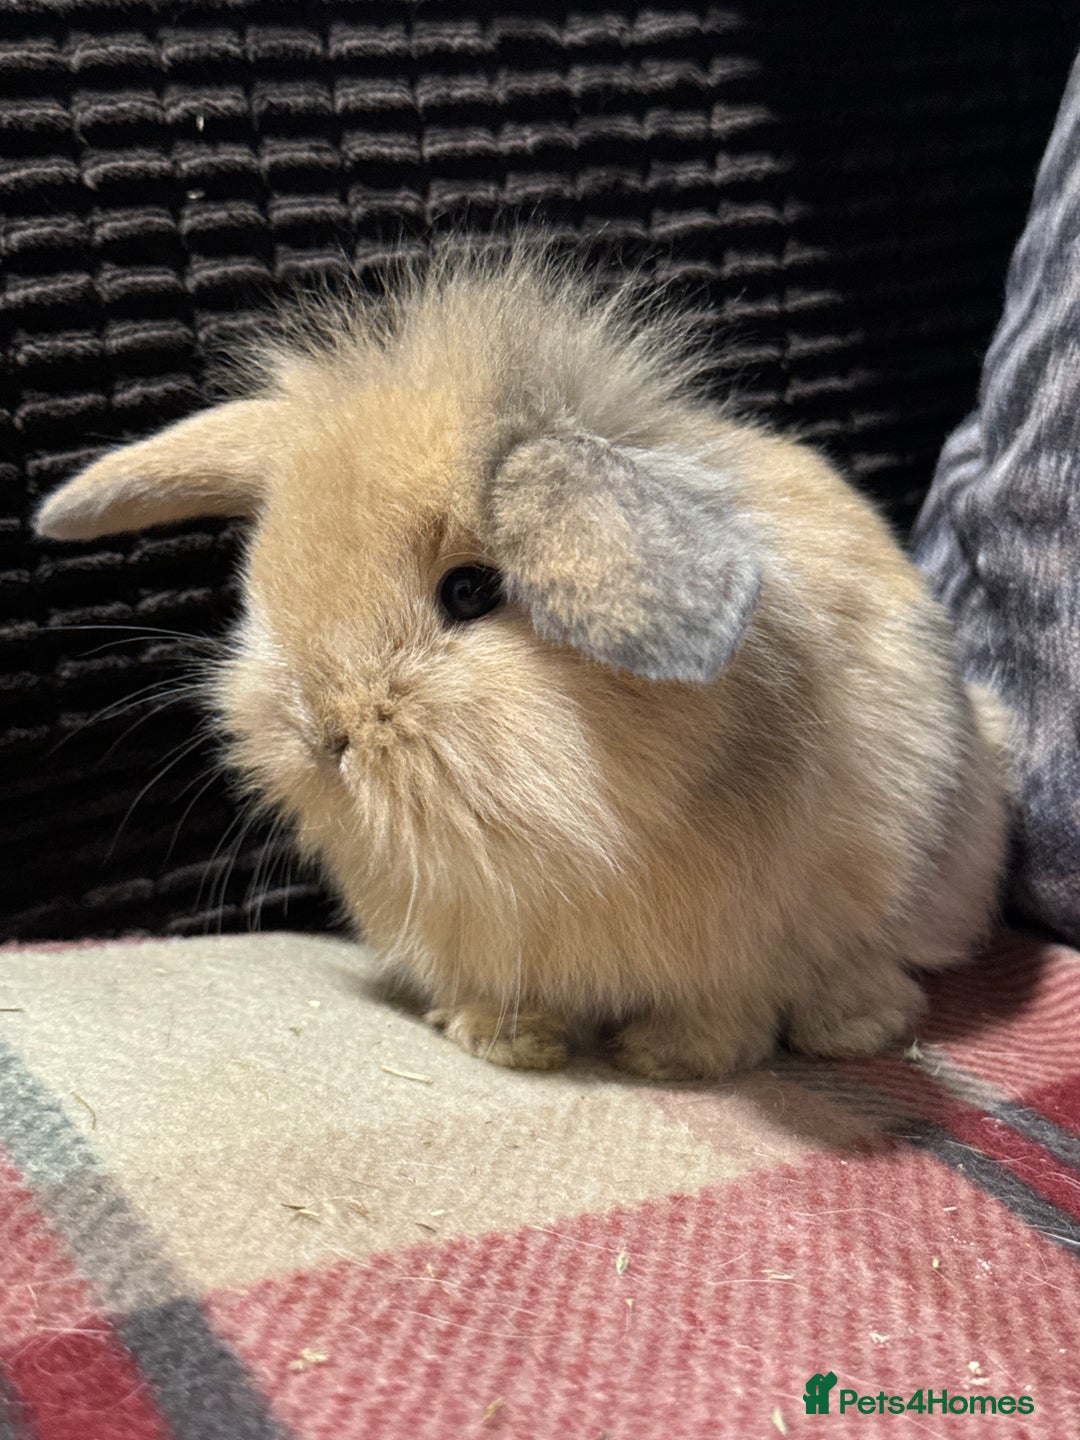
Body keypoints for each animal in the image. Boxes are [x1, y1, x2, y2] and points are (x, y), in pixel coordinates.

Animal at [34, 247, 1011, 1080]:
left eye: (470, 591)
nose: (325, 734)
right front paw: (504, 1044)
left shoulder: (753, 946)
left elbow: (724, 1010)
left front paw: (669, 1061)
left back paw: (853, 1027)